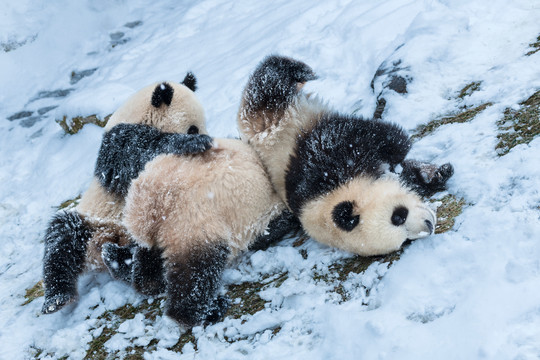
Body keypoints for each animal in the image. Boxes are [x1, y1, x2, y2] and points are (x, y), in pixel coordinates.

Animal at [40, 74, 213, 316]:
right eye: (193, 129)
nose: (206, 136)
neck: (138, 116)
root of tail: (104, 245)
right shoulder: (117, 146)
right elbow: (143, 151)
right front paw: (192, 144)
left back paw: (121, 261)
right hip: (92, 223)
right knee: (62, 237)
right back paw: (57, 298)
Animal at [96, 55, 452, 326]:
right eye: (398, 220)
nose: (429, 225)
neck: (322, 197)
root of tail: (146, 208)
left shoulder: (318, 159)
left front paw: (430, 172)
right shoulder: (315, 167)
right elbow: (366, 137)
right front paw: (408, 155)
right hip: (198, 221)